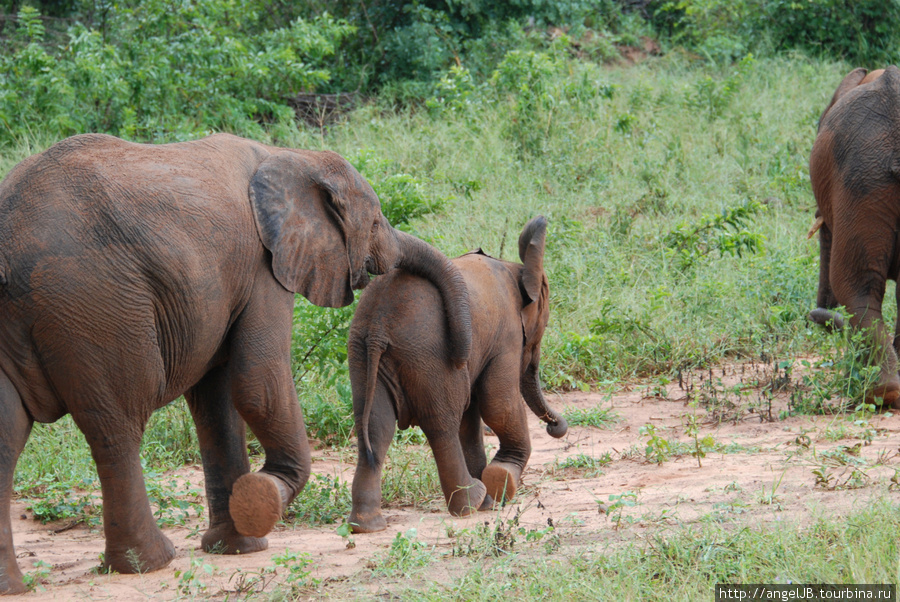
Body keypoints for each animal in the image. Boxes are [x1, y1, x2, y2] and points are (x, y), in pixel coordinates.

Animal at [0, 132, 474, 592]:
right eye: (375, 222)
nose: (459, 356)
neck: (291, 153)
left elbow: (217, 403)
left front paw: (237, 545)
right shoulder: (265, 268)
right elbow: (257, 386)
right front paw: (263, 496)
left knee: (9, 436)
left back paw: (18, 584)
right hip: (95, 306)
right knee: (117, 426)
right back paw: (149, 564)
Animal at [346, 214, 568, 528]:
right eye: (541, 331)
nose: (554, 426)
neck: (515, 267)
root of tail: (378, 323)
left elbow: (473, 417)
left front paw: (493, 496)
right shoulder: (507, 337)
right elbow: (497, 405)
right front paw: (501, 482)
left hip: (363, 354)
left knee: (377, 427)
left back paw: (366, 525)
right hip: (430, 355)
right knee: (442, 424)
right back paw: (470, 504)